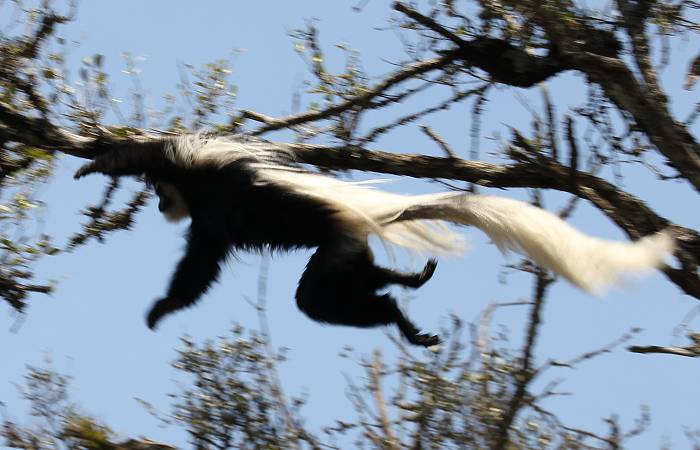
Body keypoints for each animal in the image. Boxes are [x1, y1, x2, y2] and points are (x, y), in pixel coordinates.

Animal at [74, 135, 676, 346]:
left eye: (161, 194)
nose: (159, 205)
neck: (198, 192)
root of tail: (370, 215)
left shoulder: (201, 180)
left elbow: (147, 157)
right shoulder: (208, 218)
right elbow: (200, 271)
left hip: (335, 249)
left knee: (318, 300)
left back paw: (395, 316)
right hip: (348, 251)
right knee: (363, 282)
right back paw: (408, 287)